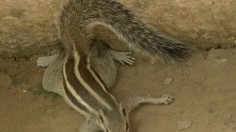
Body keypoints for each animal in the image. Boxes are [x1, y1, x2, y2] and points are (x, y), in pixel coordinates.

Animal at [36, 0, 192, 131]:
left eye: (127, 126)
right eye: (107, 130)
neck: (109, 107)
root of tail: (76, 53)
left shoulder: (124, 104)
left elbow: (140, 97)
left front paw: (162, 99)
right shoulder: (93, 122)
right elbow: (83, 129)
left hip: (104, 73)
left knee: (101, 52)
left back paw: (119, 55)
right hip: (53, 81)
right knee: (60, 58)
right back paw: (45, 60)